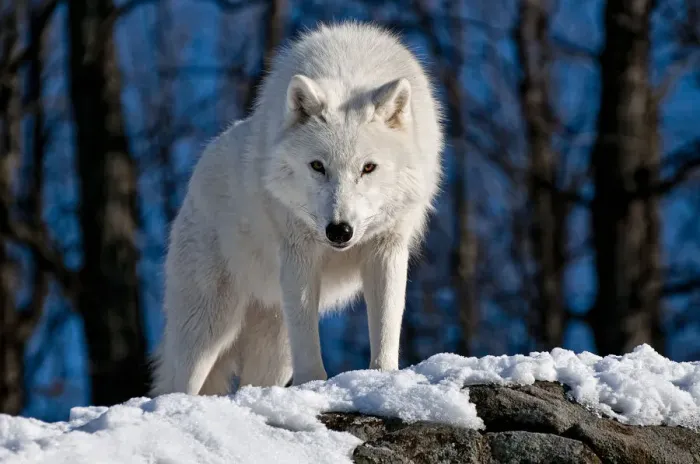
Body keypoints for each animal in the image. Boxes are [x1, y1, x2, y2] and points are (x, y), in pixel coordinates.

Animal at [150, 21, 444, 396]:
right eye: (317, 166)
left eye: (368, 168)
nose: (339, 230)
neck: (349, 66)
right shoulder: (298, 252)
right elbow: (309, 343)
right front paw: (313, 385)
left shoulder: (387, 247)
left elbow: (386, 324)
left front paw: (383, 378)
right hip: (209, 324)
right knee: (179, 381)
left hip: (272, 344)